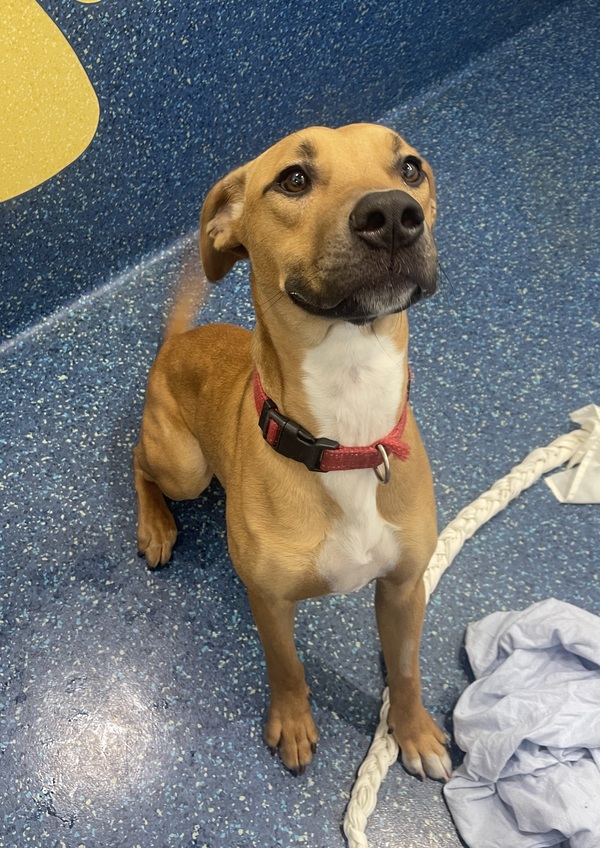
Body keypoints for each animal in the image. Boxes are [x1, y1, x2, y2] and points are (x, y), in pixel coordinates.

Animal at [133, 123, 451, 780]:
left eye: (410, 168)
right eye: (294, 179)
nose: (392, 215)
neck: (348, 435)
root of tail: (178, 342)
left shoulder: (406, 587)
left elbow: (406, 670)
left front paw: (413, 732)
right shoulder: (271, 600)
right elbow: (288, 668)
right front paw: (294, 725)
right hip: (184, 467)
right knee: (136, 462)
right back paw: (155, 526)